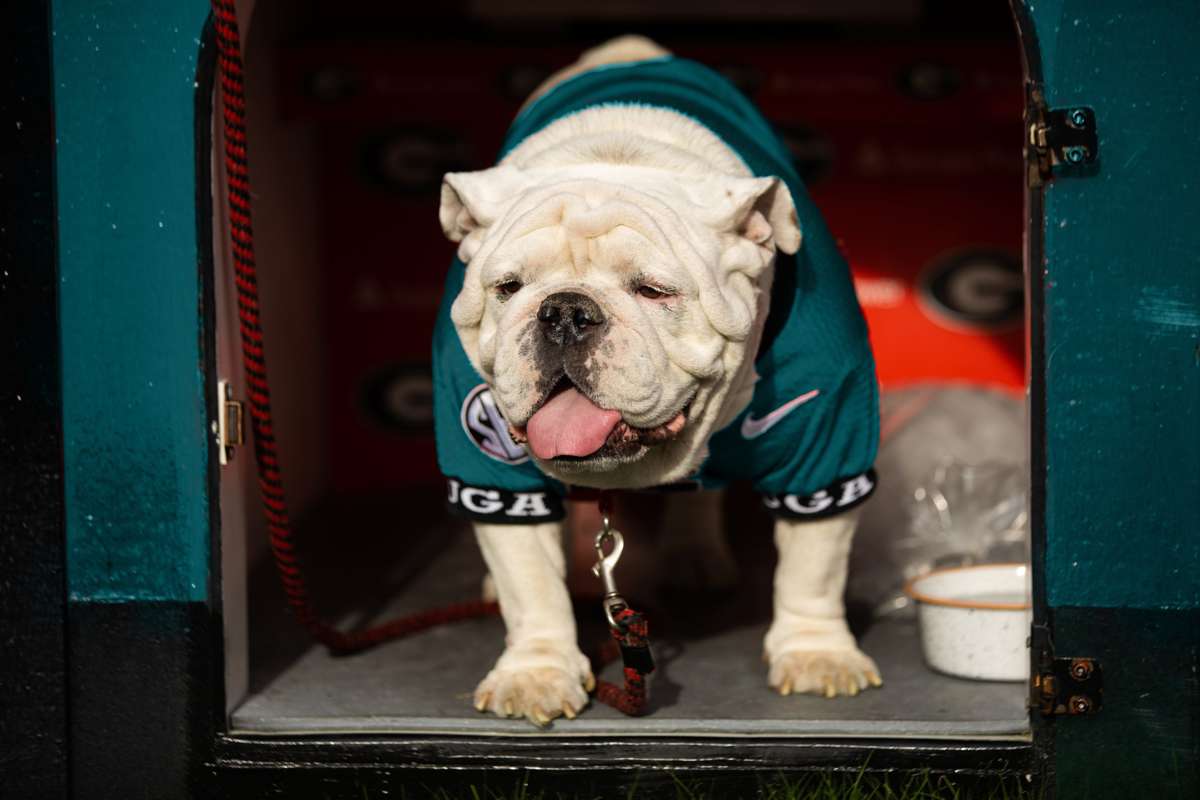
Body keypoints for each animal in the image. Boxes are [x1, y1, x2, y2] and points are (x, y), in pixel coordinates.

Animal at [433, 36, 882, 725]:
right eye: (508, 287)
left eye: (652, 291)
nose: (564, 312)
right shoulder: (487, 457)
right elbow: (528, 578)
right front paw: (536, 672)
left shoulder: (827, 437)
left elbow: (815, 559)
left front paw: (817, 655)